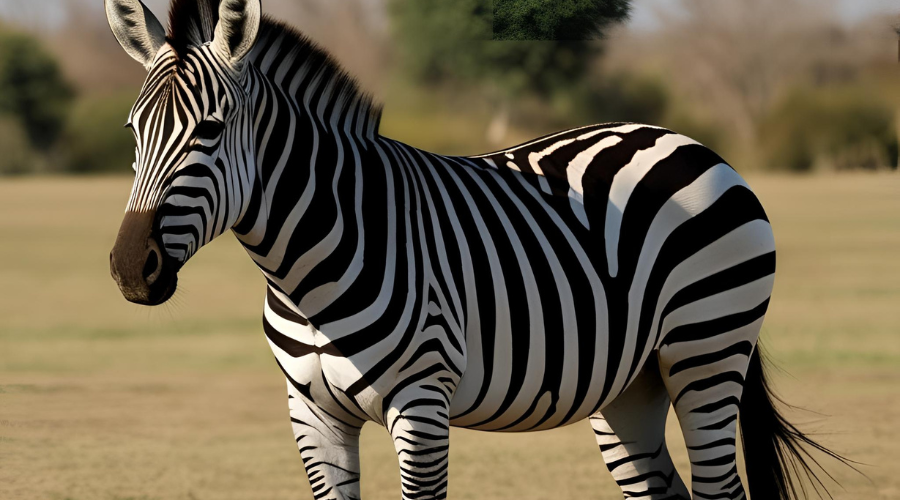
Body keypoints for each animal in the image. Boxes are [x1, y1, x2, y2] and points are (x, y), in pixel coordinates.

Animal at [105, 1, 846, 499]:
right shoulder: (312, 414)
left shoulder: (421, 405)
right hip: (633, 382)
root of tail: (683, 141)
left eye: (210, 130)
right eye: (133, 130)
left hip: (707, 351)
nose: (130, 270)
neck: (303, 274)